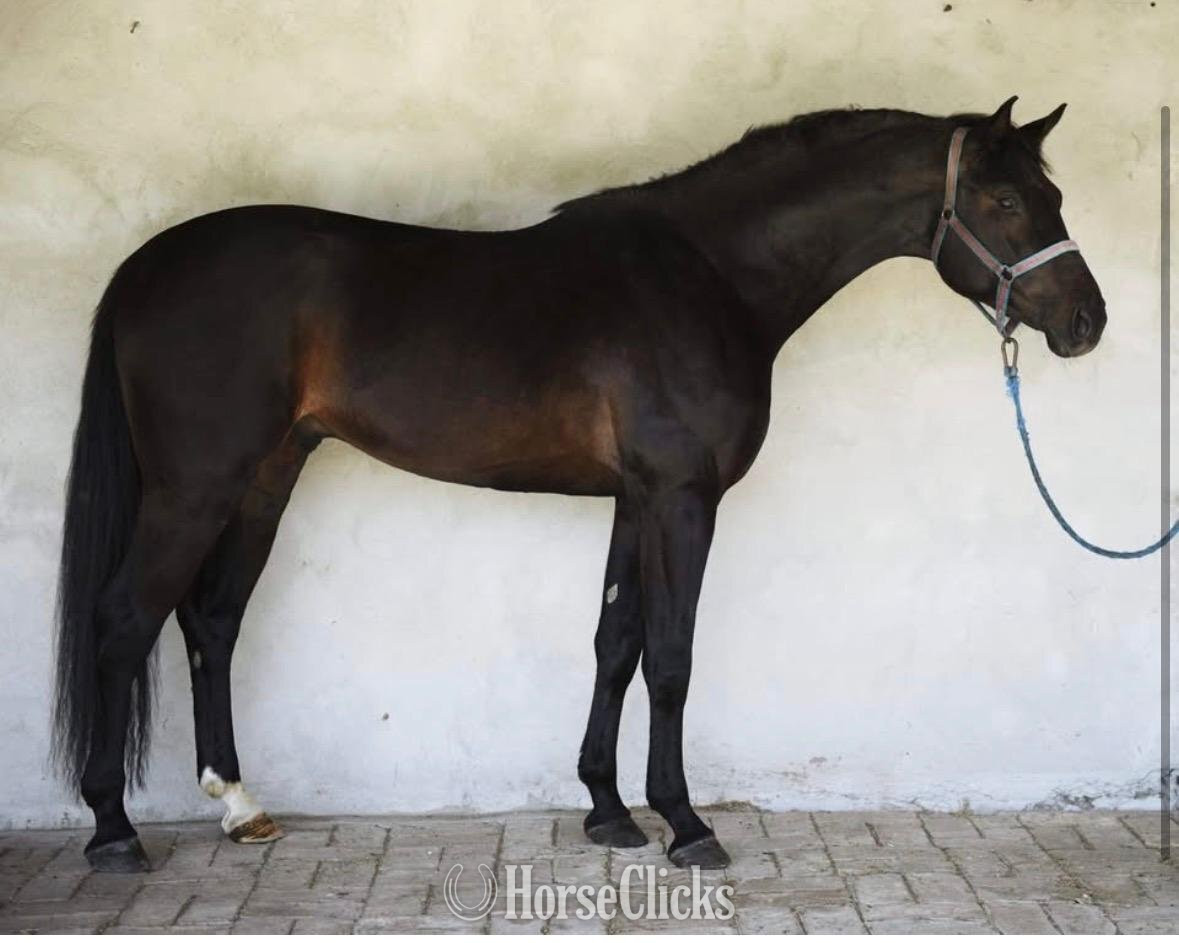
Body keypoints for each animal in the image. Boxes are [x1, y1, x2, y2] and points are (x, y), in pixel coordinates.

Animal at [53, 95, 1106, 872]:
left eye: (1052, 191)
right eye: (1004, 202)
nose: (1086, 322)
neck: (709, 275)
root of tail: (143, 268)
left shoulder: (635, 501)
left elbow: (615, 642)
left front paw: (607, 808)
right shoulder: (681, 499)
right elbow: (672, 657)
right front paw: (687, 824)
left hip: (267, 475)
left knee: (211, 621)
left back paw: (238, 804)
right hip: (194, 487)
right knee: (123, 619)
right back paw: (113, 831)